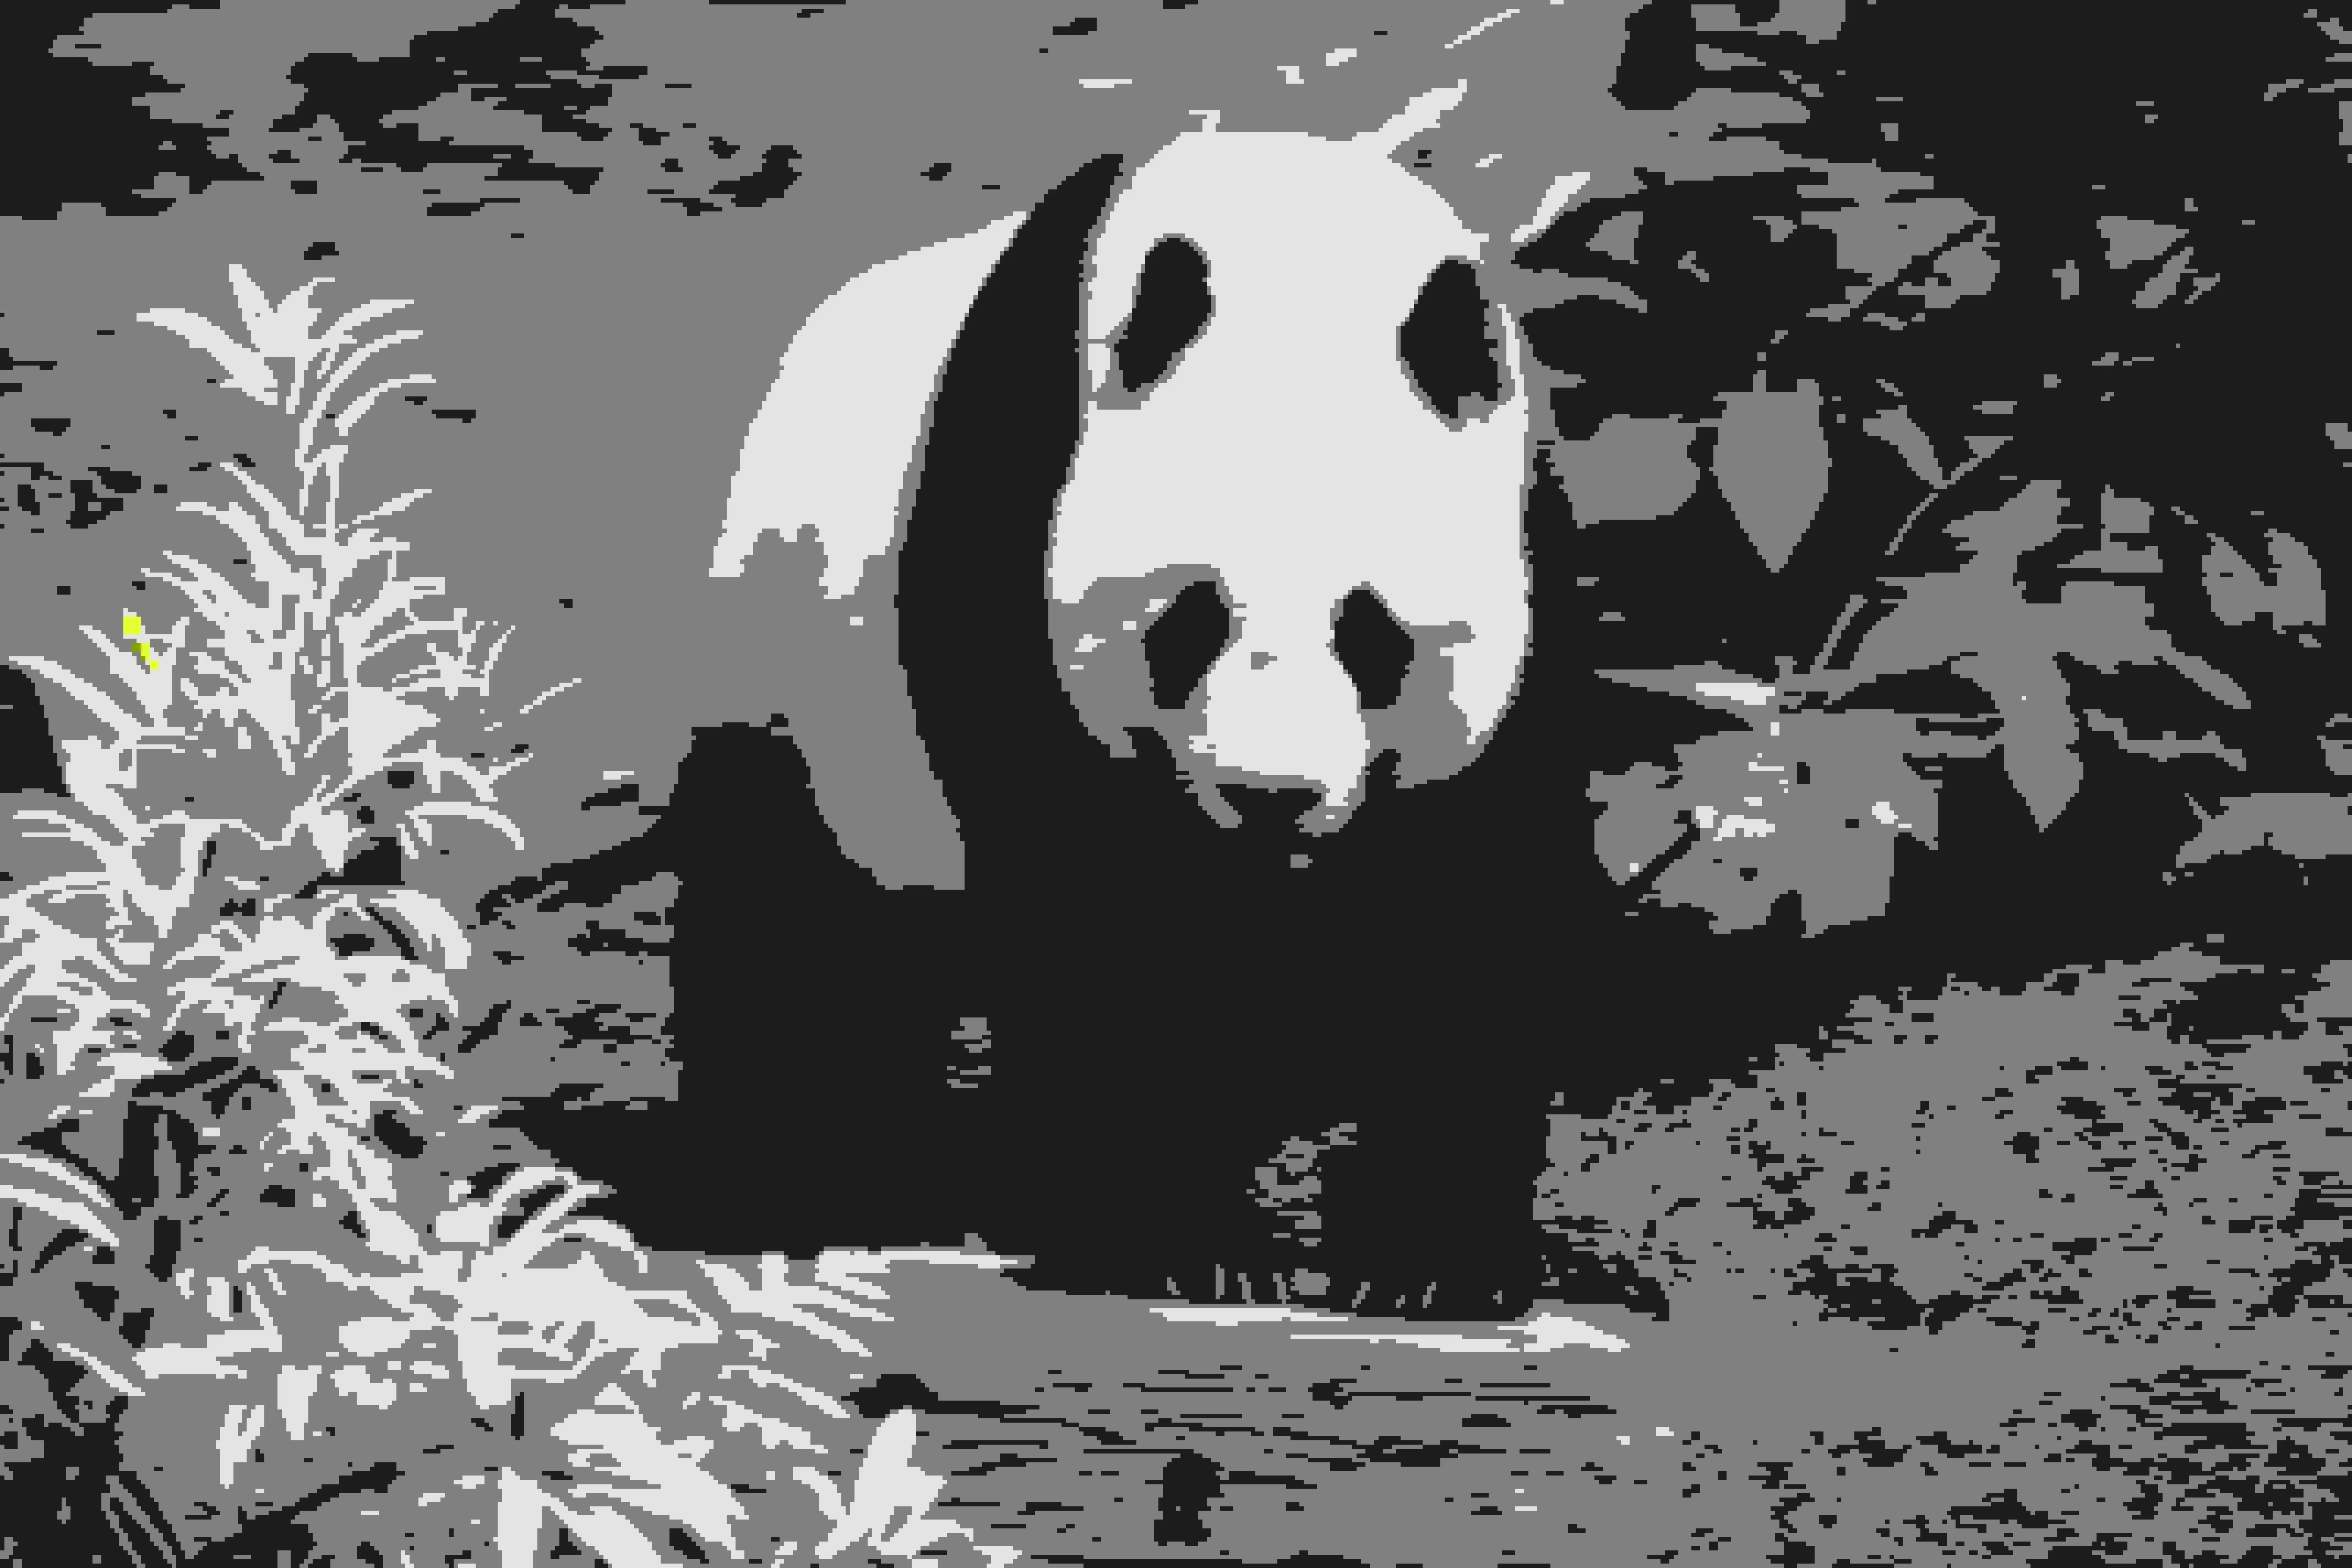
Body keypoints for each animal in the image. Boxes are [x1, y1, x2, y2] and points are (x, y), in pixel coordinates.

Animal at [690, 96, 1595, 1318]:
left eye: (1371, 634)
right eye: (1190, 619)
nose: (1270, 797)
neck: (1302, 245)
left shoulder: (1528, 558)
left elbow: (1475, 907)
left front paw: (1428, 1263)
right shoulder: (1012, 498)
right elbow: (1094, 906)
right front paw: (1169, 1239)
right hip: (803, 673)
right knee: (796, 929)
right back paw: (810, 1185)